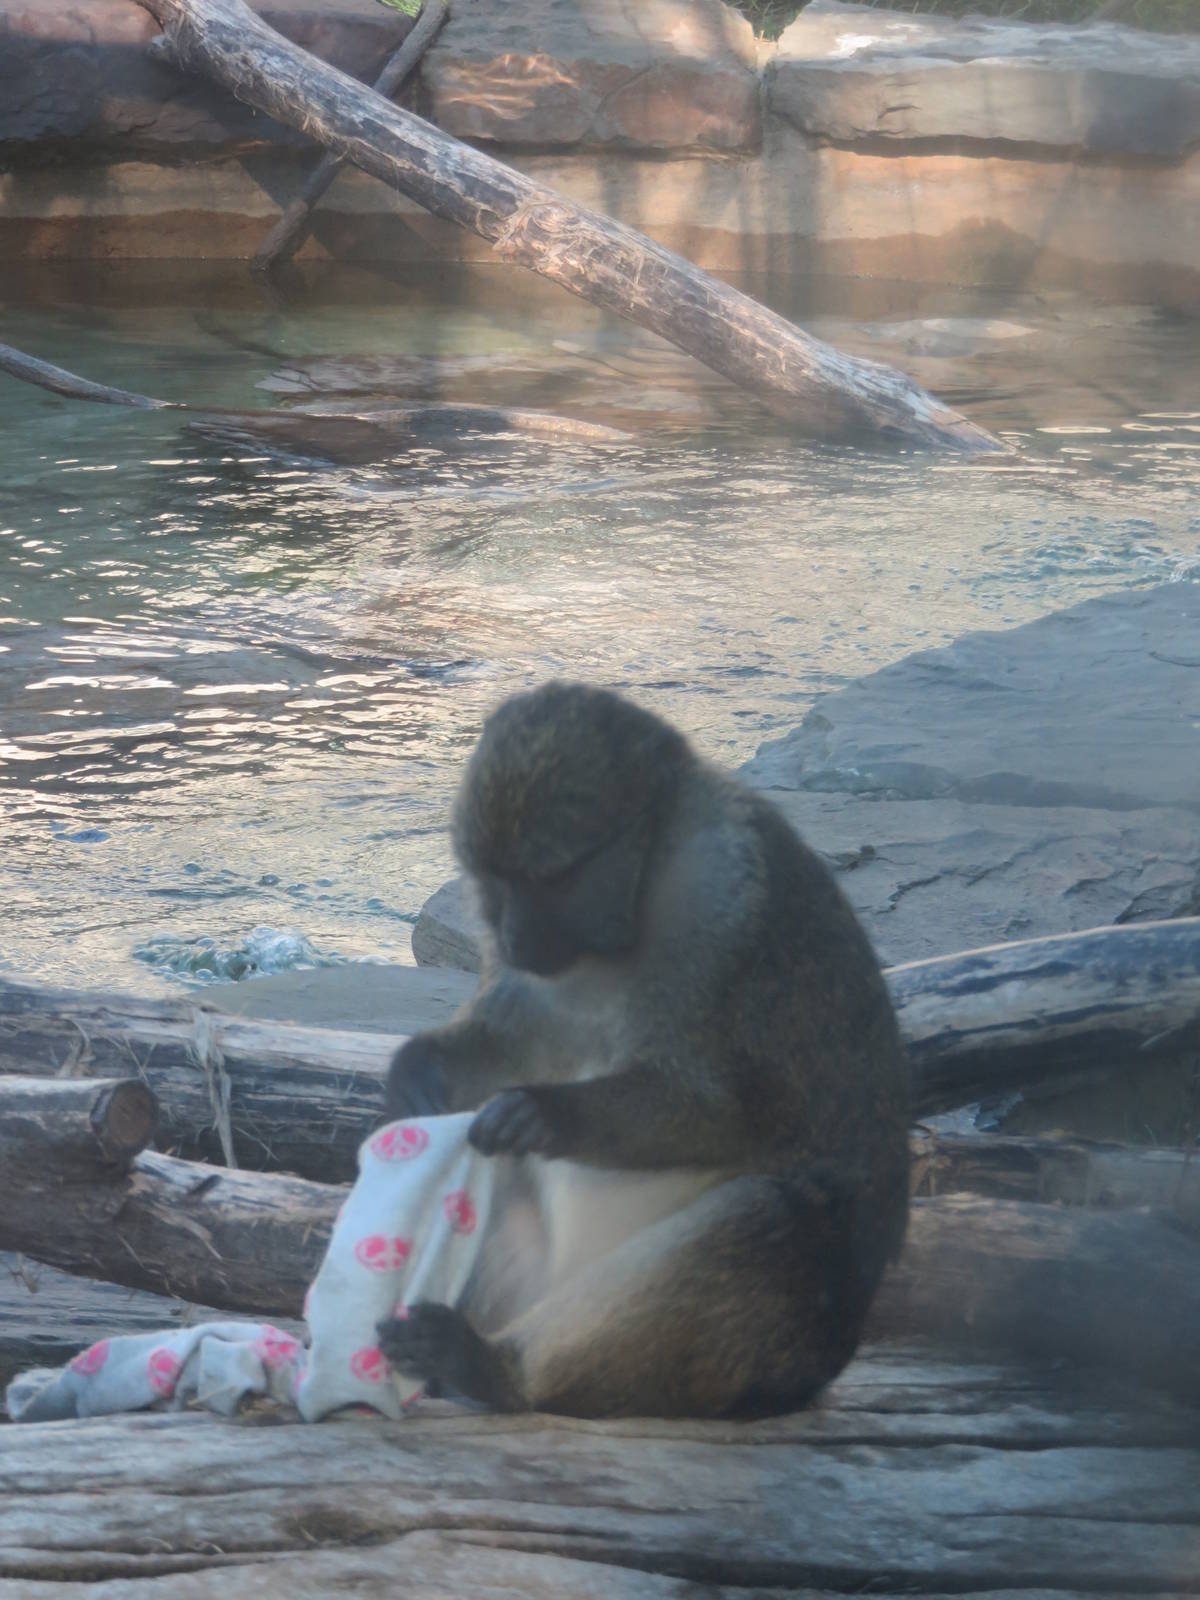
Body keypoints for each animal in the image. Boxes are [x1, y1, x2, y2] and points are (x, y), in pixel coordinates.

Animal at [378, 680, 909, 1419]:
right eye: (496, 882)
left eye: (555, 879)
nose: (516, 939)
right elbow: (516, 1034)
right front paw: (420, 1072)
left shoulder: (724, 898)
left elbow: (730, 1114)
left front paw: (547, 1114)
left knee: (772, 1223)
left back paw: (493, 1373)